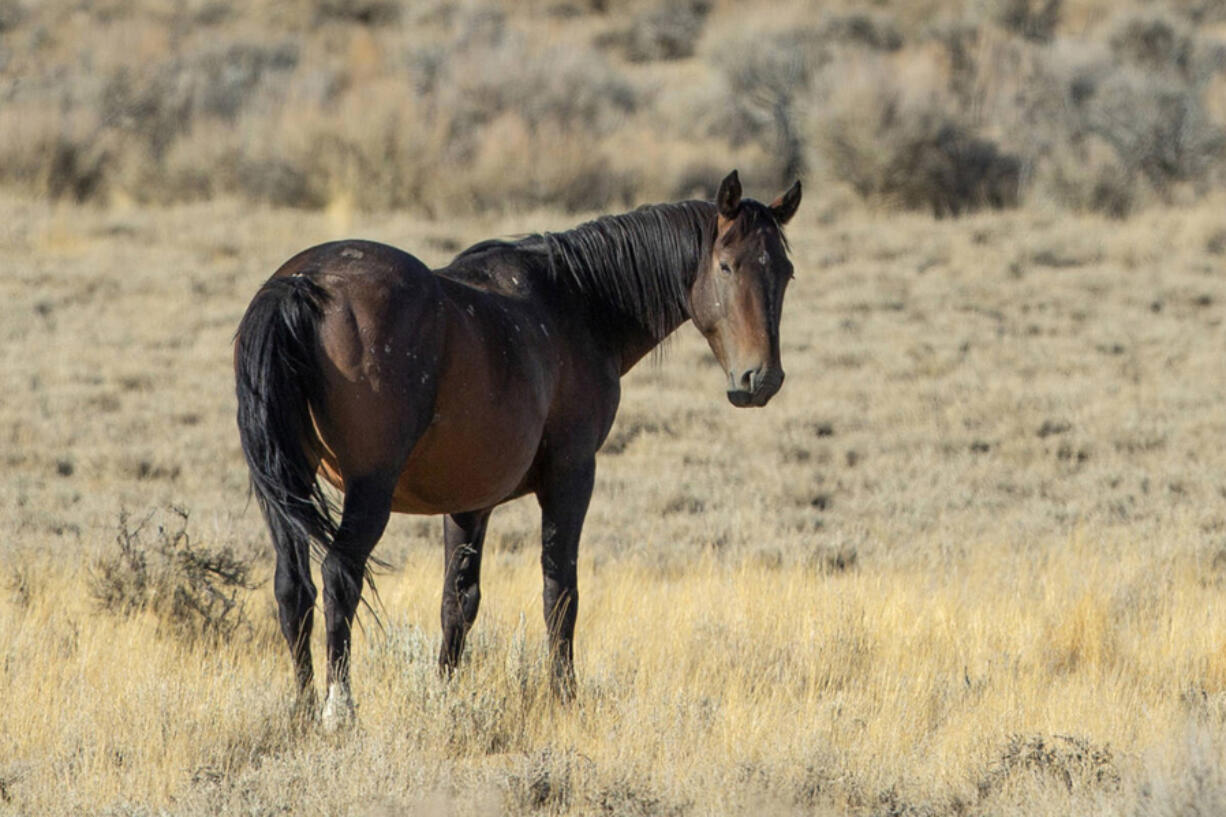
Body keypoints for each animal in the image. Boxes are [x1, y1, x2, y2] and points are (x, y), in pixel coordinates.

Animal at [232, 166, 799, 726]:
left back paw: (303, 710)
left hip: (288, 486)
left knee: (293, 587)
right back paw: (338, 710)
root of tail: (302, 284)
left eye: (786, 273)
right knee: (338, 577)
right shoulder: (571, 475)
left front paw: (447, 697)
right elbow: (560, 591)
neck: (576, 304)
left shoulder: (468, 503)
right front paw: (565, 697)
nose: (761, 379)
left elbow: (458, 601)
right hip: (369, 490)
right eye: (725, 266)